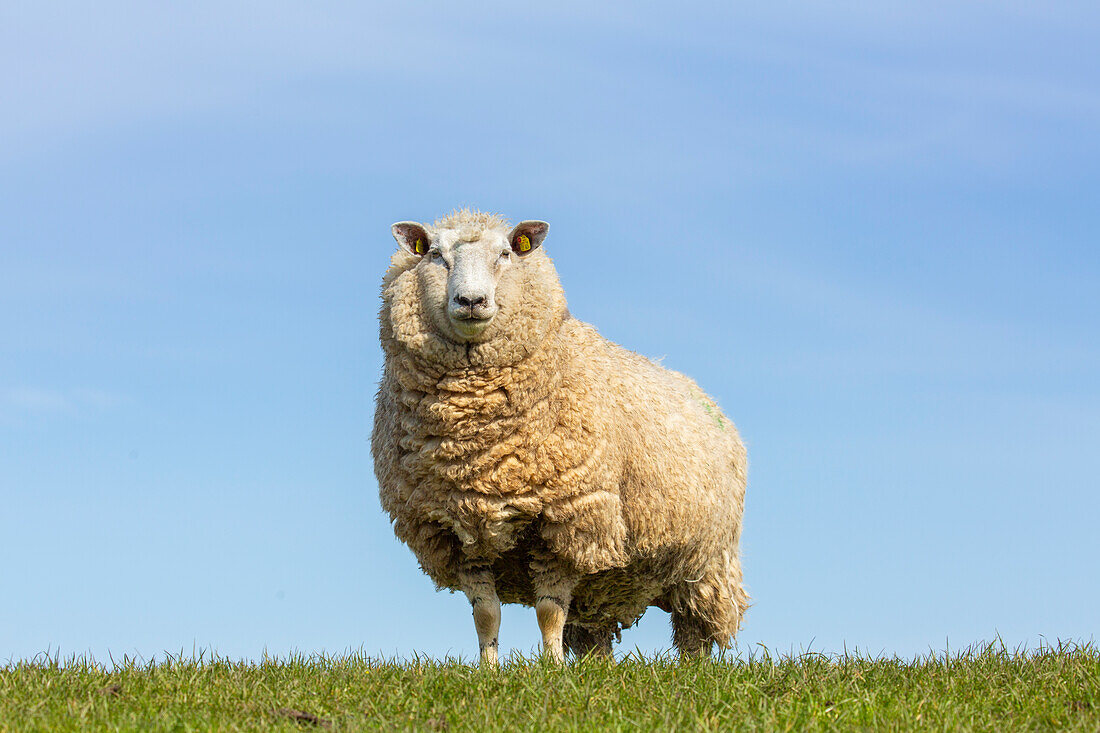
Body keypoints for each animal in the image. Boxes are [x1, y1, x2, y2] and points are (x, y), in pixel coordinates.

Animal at [371, 206, 748, 660]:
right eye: (435, 256)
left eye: (505, 253)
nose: (471, 302)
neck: (473, 439)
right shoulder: (459, 528)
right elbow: (487, 616)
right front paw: (488, 668)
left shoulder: (567, 519)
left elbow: (549, 612)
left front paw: (550, 667)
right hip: (605, 583)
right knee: (592, 629)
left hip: (706, 563)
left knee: (698, 632)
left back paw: (693, 668)